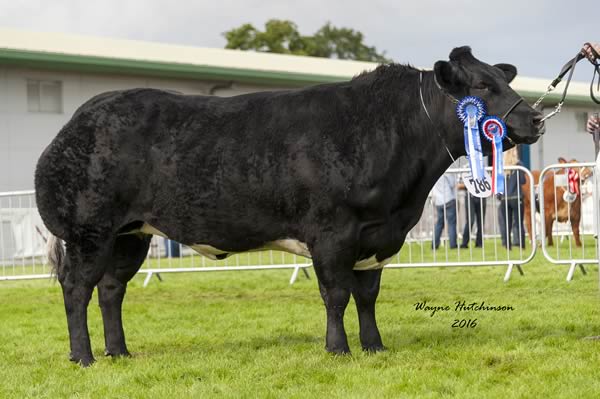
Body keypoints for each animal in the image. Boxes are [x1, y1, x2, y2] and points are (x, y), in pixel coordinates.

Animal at [35, 46, 548, 366]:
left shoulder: (378, 236)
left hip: (131, 234)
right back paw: (83, 357)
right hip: (89, 231)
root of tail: (81, 117)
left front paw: (375, 347)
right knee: (77, 289)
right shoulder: (333, 232)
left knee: (111, 290)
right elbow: (336, 294)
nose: (537, 119)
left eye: (502, 79)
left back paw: (119, 352)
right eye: (481, 85)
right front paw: (338, 350)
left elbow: (367, 295)